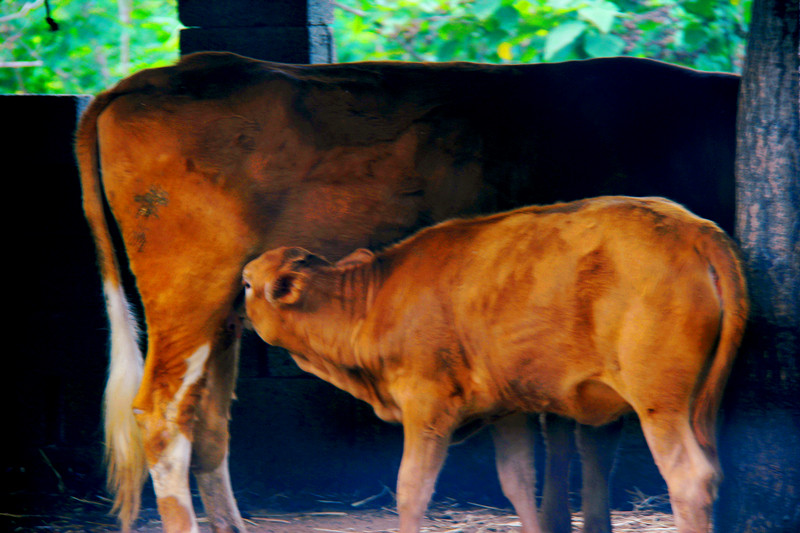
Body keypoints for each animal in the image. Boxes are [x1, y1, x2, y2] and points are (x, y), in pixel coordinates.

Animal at [245, 195, 752, 532]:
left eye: (249, 284)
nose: (237, 288)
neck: (375, 299)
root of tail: (693, 229)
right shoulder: (507, 409)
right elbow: (518, 484)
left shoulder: (426, 404)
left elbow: (412, 489)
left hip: (660, 405)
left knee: (690, 479)